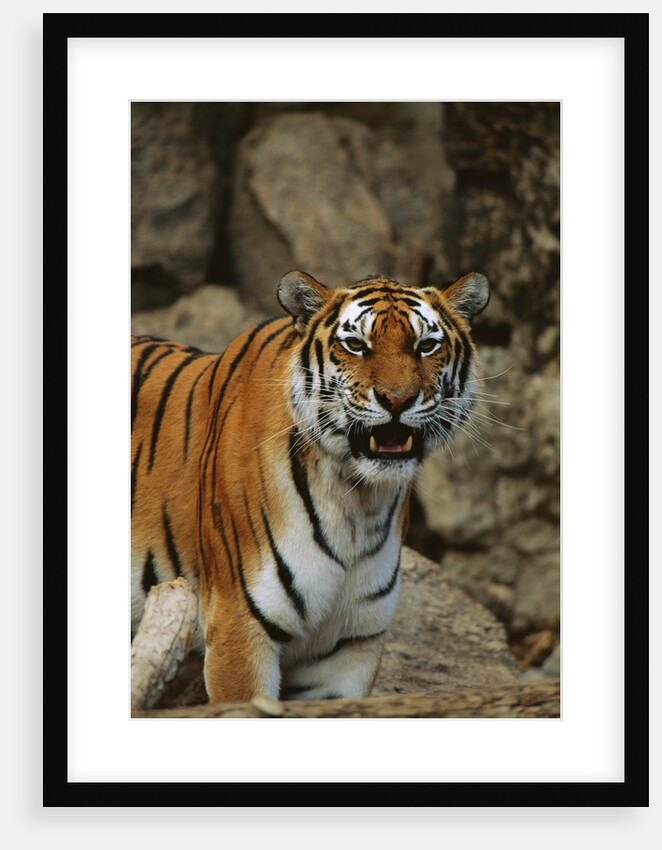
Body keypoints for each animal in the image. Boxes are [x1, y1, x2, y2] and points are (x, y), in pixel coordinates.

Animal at [131, 270, 489, 704]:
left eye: (426, 346)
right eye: (356, 345)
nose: (397, 399)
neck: (357, 500)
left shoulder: (348, 649)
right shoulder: (239, 624)